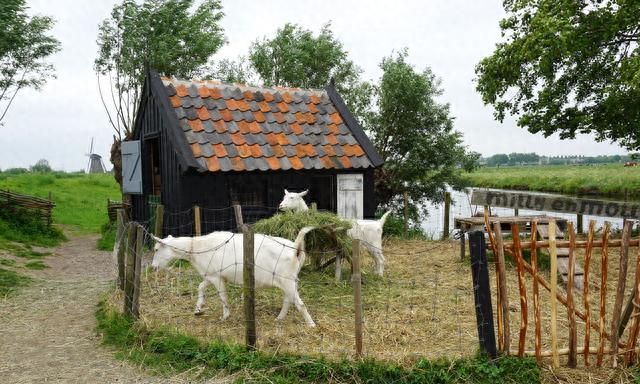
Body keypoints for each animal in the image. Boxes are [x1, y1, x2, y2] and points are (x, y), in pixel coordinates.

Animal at [152, 226, 318, 328]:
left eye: (156, 249)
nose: (153, 267)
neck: (196, 248)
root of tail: (296, 249)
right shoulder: (211, 274)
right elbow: (200, 287)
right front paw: (198, 308)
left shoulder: (216, 277)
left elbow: (222, 296)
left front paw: (225, 316)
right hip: (289, 280)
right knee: (288, 300)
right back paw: (280, 318)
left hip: (287, 279)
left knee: (299, 303)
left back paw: (311, 324)